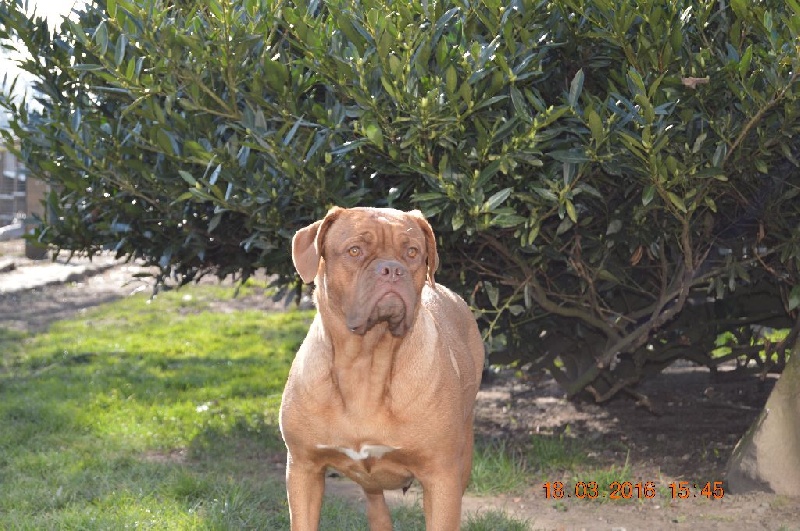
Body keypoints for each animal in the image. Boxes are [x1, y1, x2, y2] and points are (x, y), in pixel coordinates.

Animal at [279, 206, 484, 530]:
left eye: (412, 252)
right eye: (355, 250)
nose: (392, 269)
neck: (366, 361)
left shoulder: (441, 477)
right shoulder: (303, 468)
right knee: (376, 504)